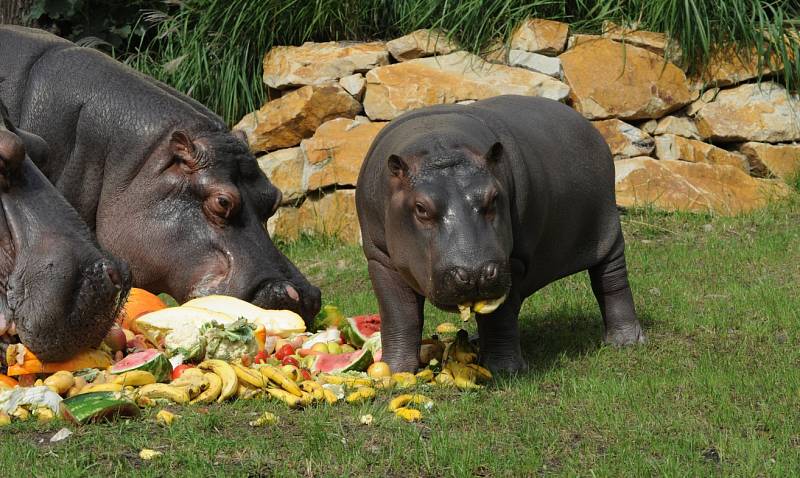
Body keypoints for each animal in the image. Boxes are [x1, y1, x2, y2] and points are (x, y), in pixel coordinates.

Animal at [356, 94, 644, 374]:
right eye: (420, 208)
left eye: (494, 197)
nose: (474, 273)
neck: (439, 144)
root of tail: (587, 124)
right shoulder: (381, 258)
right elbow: (399, 315)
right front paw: (395, 371)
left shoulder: (513, 259)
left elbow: (499, 317)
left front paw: (505, 370)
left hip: (608, 232)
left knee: (611, 281)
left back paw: (626, 341)